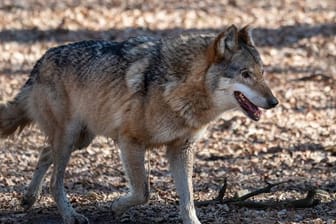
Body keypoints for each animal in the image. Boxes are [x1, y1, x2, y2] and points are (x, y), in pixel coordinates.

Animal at [0, 25, 278, 224]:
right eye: (245, 74)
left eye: (262, 73)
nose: (273, 102)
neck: (180, 87)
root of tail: (39, 63)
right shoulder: (130, 142)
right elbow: (143, 192)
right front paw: (115, 207)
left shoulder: (181, 149)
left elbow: (188, 199)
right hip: (69, 138)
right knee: (54, 181)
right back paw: (69, 215)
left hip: (80, 139)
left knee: (44, 153)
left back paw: (28, 199)